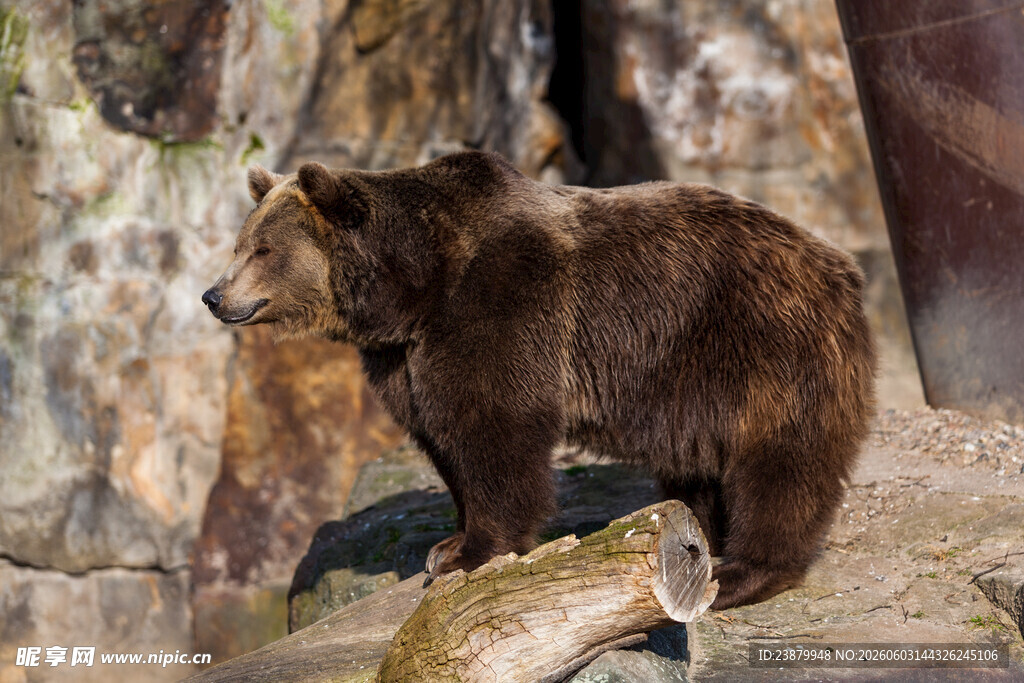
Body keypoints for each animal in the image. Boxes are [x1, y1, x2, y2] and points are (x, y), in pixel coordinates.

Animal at [202, 151, 876, 609]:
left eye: (261, 249)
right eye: (240, 244)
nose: (213, 295)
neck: (416, 288)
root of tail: (839, 264)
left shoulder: (502, 302)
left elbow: (495, 425)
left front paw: (469, 552)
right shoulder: (403, 356)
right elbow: (441, 434)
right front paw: (448, 542)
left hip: (764, 344)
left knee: (780, 461)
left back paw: (739, 571)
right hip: (693, 385)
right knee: (701, 464)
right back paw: (699, 533)